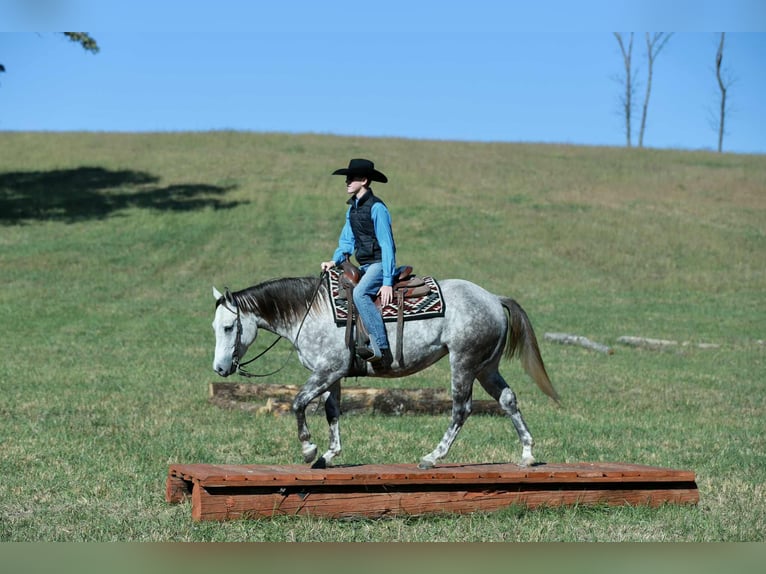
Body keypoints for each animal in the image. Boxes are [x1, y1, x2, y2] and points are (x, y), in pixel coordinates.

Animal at [211, 274, 559, 469]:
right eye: (215, 327)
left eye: (229, 327)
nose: (220, 368)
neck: (310, 313)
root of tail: (493, 299)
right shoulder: (333, 375)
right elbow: (332, 411)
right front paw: (329, 455)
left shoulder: (327, 370)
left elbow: (298, 403)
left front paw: (309, 450)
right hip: (486, 366)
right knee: (508, 400)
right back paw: (527, 454)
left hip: (464, 362)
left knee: (462, 409)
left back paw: (432, 457)